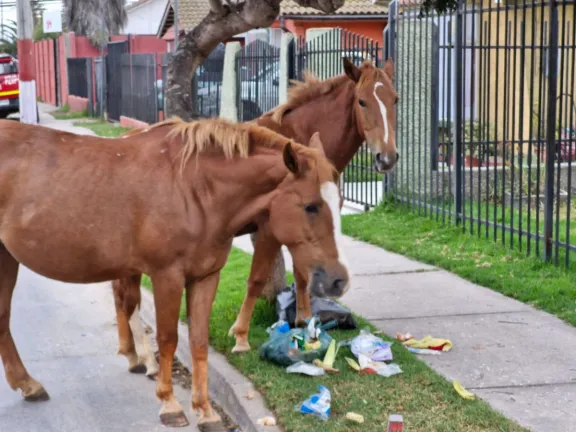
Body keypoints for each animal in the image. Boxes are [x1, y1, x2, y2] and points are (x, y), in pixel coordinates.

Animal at [0, 116, 348, 430]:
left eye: (340, 202)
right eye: (310, 206)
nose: (338, 280)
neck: (195, 190)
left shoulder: (206, 277)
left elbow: (198, 341)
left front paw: (205, 410)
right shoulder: (166, 276)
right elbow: (168, 340)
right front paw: (170, 404)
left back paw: (28, 384)